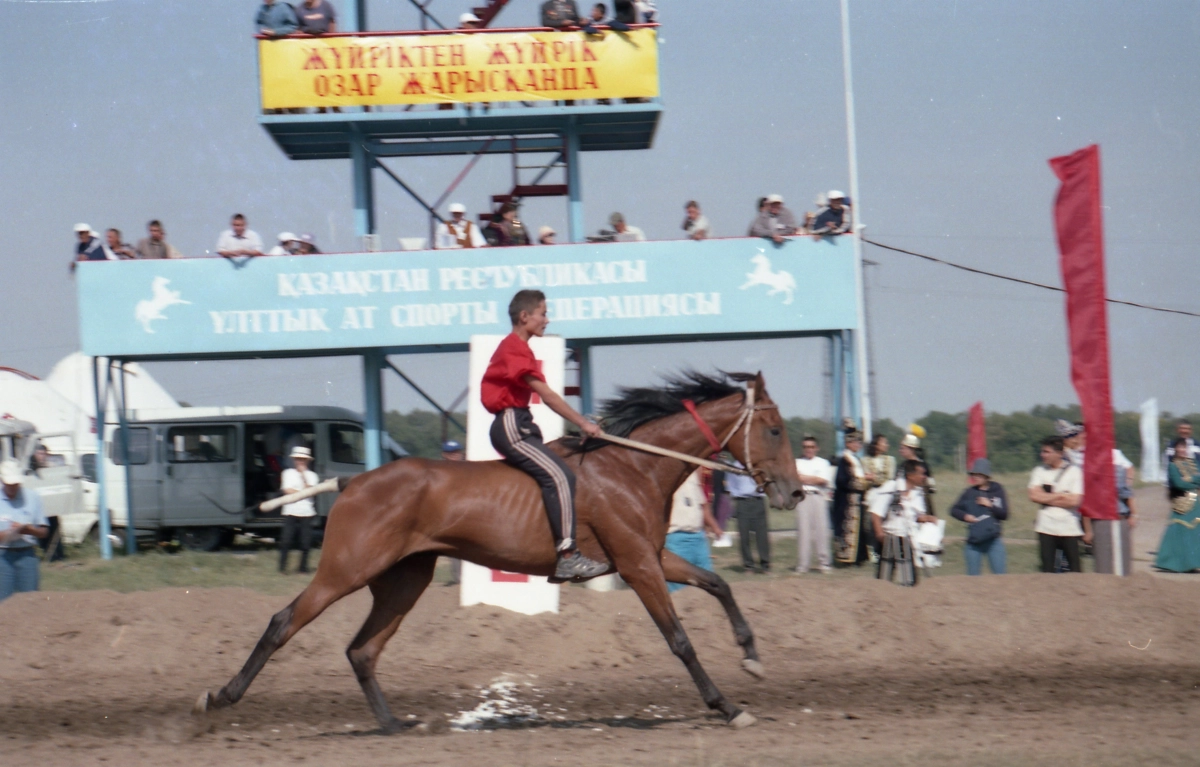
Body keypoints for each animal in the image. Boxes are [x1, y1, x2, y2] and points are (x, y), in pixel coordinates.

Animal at [199, 372, 806, 729]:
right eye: (775, 429)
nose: (795, 493)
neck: (634, 465)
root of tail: (353, 482)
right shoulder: (637, 566)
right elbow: (679, 640)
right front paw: (727, 706)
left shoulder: (649, 556)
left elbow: (719, 584)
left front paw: (751, 657)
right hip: (346, 569)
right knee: (283, 622)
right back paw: (220, 697)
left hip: (404, 578)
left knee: (362, 650)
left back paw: (393, 724)